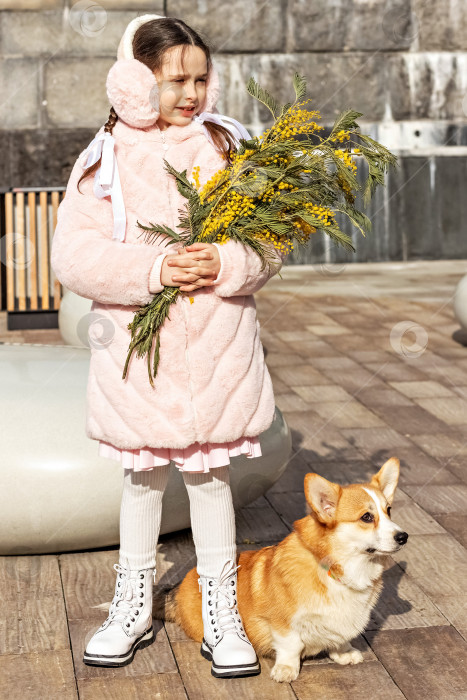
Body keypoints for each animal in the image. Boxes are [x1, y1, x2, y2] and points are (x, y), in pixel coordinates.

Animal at [155, 456, 408, 680]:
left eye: (389, 511)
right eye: (366, 517)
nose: (404, 536)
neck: (334, 568)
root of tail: (181, 585)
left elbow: (340, 638)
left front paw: (343, 653)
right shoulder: (282, 623)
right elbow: (291, 646)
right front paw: (287, 670)